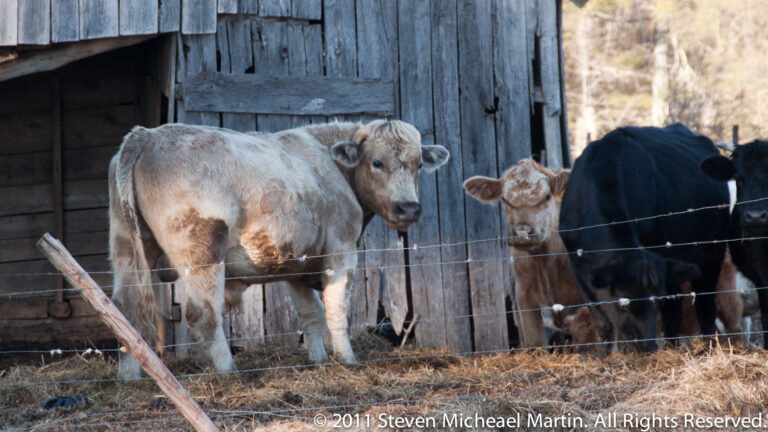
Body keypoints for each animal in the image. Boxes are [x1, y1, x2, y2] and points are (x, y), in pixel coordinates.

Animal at [109, 120, 449, 379]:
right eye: (377, 162)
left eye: (419, 164)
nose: (409, 208)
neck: (333, 167)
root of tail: (145, 135)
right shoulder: (341, 249)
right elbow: (336, 311)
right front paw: (348, 360)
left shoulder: (299, 265)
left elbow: (312, 315)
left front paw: (318, 360)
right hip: (202, 251)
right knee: (202, 314)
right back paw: (230, 372)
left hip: (125, 249)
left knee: (127, 311)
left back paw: (129, 377)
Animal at [559, 123, 730, 351]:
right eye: (623, 305)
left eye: (655, 302)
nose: (648, 346)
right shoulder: (580, 272)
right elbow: (602, 323)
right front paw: (603, 355)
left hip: (713, 253)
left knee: (702, 305)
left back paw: (707, 346)